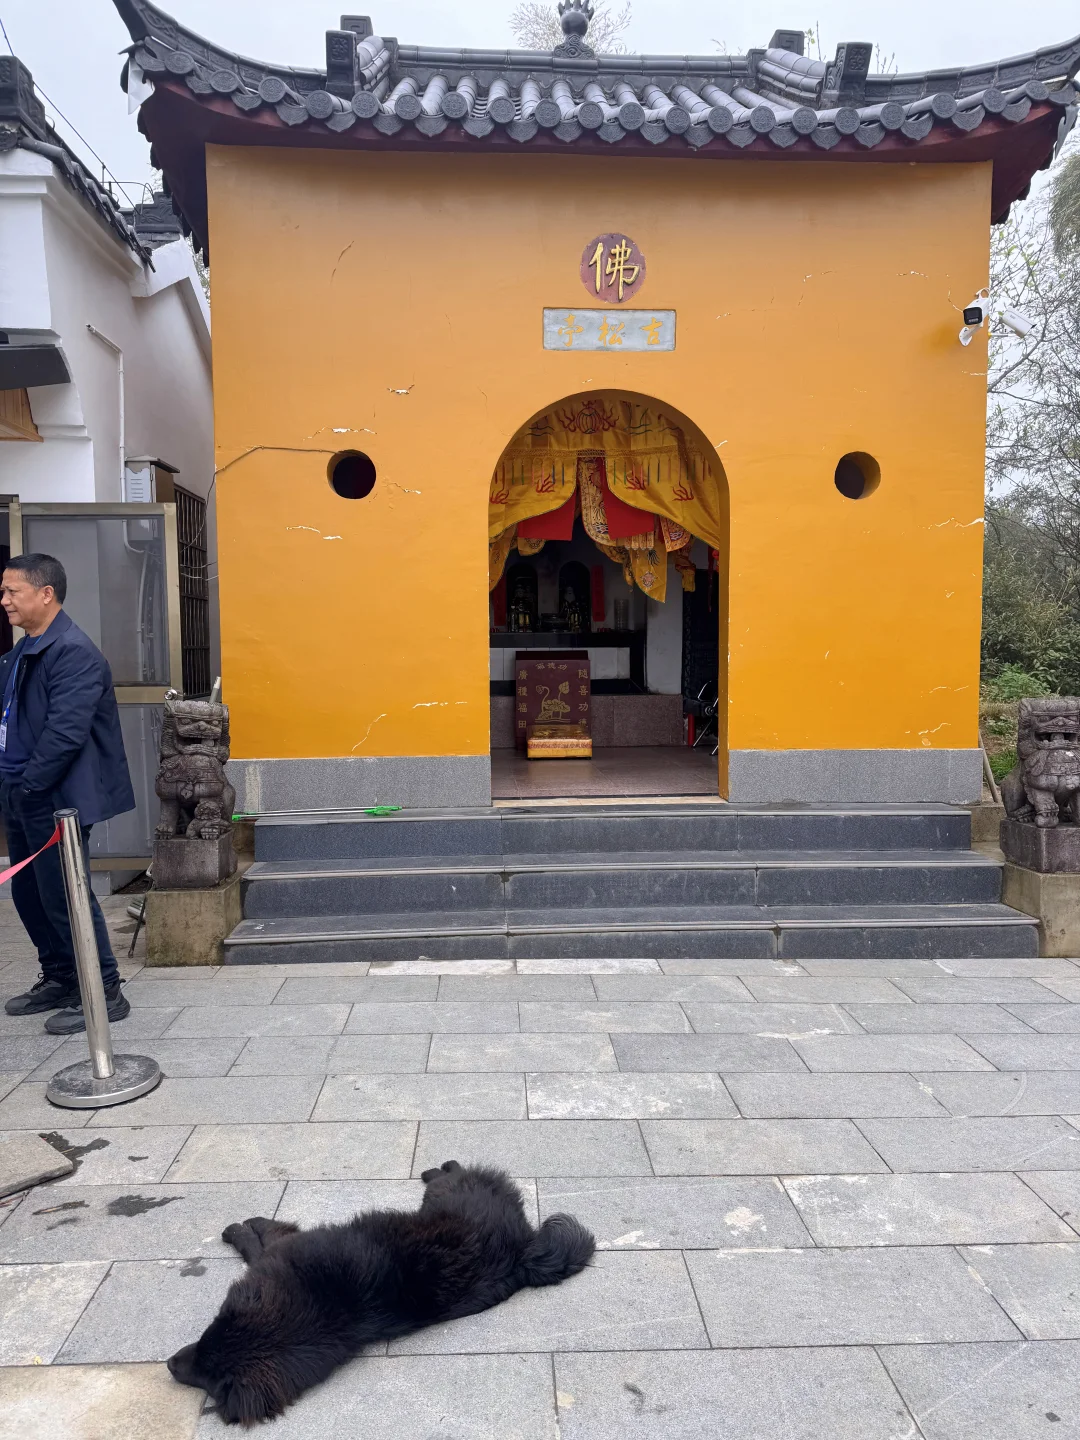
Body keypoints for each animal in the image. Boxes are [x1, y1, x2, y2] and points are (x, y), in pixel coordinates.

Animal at [167, 1161, 595, 1425]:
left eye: (207, 1376)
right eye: (202, 1352)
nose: (169, 1364)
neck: (321, 1304)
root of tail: (522, 1250)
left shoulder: (282, 1250)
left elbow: (258, 1240)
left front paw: (240, 1228)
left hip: (446, 1193)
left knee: (450, 1174)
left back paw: (439, 1166)